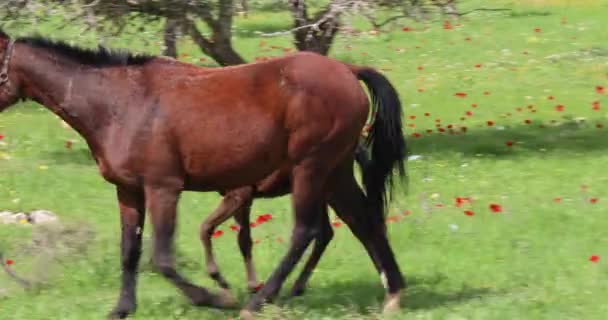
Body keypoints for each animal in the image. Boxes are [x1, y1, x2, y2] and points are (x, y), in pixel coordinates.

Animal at [1, 30, 408, 320]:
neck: (122, 104)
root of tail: (347, 71)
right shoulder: (128, 192)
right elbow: (129, 252)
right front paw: (121, 309)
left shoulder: (163, 188)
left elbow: (162, 258)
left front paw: (216, 297)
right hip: (334, 173)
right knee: (364, 220)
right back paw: (392, 294)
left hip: (311, 168)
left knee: (307, 231)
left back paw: (259, 301)